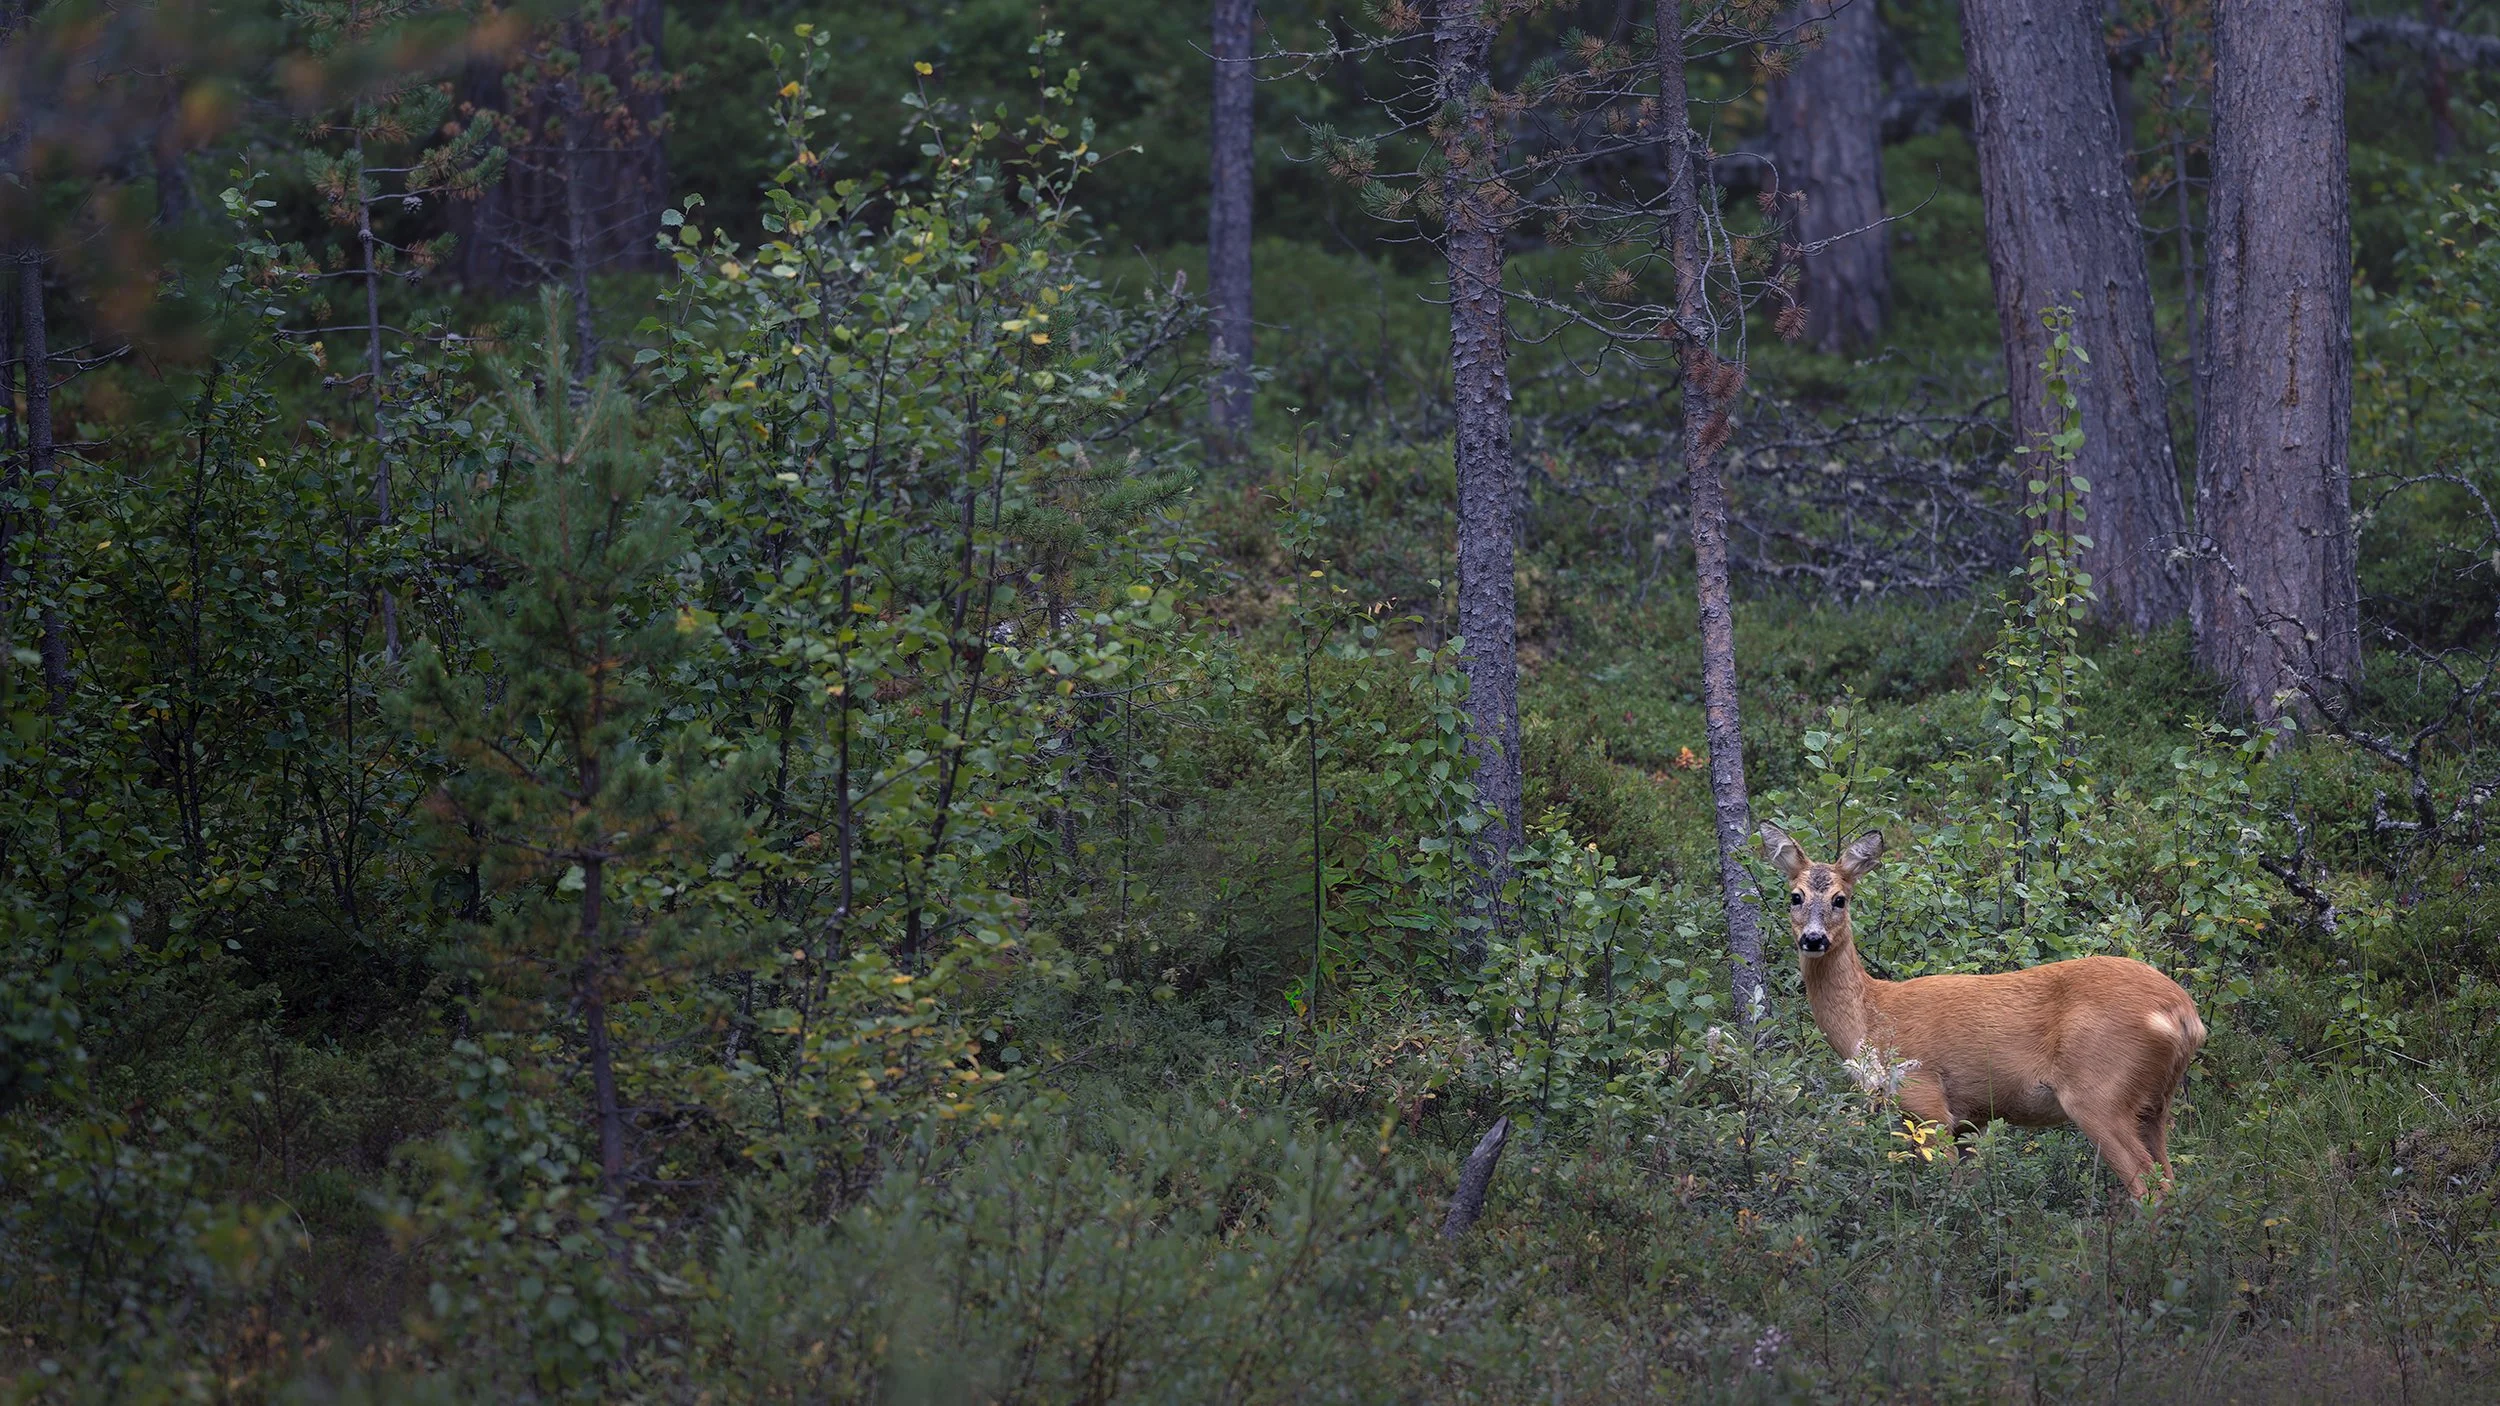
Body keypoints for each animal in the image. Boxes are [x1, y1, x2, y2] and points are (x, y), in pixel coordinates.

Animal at [1758, 824, 2206, 1201]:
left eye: (1840, 899)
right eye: (1795, 897)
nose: (1813, 939)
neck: (1872, 1018)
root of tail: (2185, 1014)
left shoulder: (1925, 1097)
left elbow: (1948, 1189)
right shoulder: (1972, 1118)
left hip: (2099, 1092)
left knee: (2150, 1187)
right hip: (2153, 1104)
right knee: (2170, 1179)